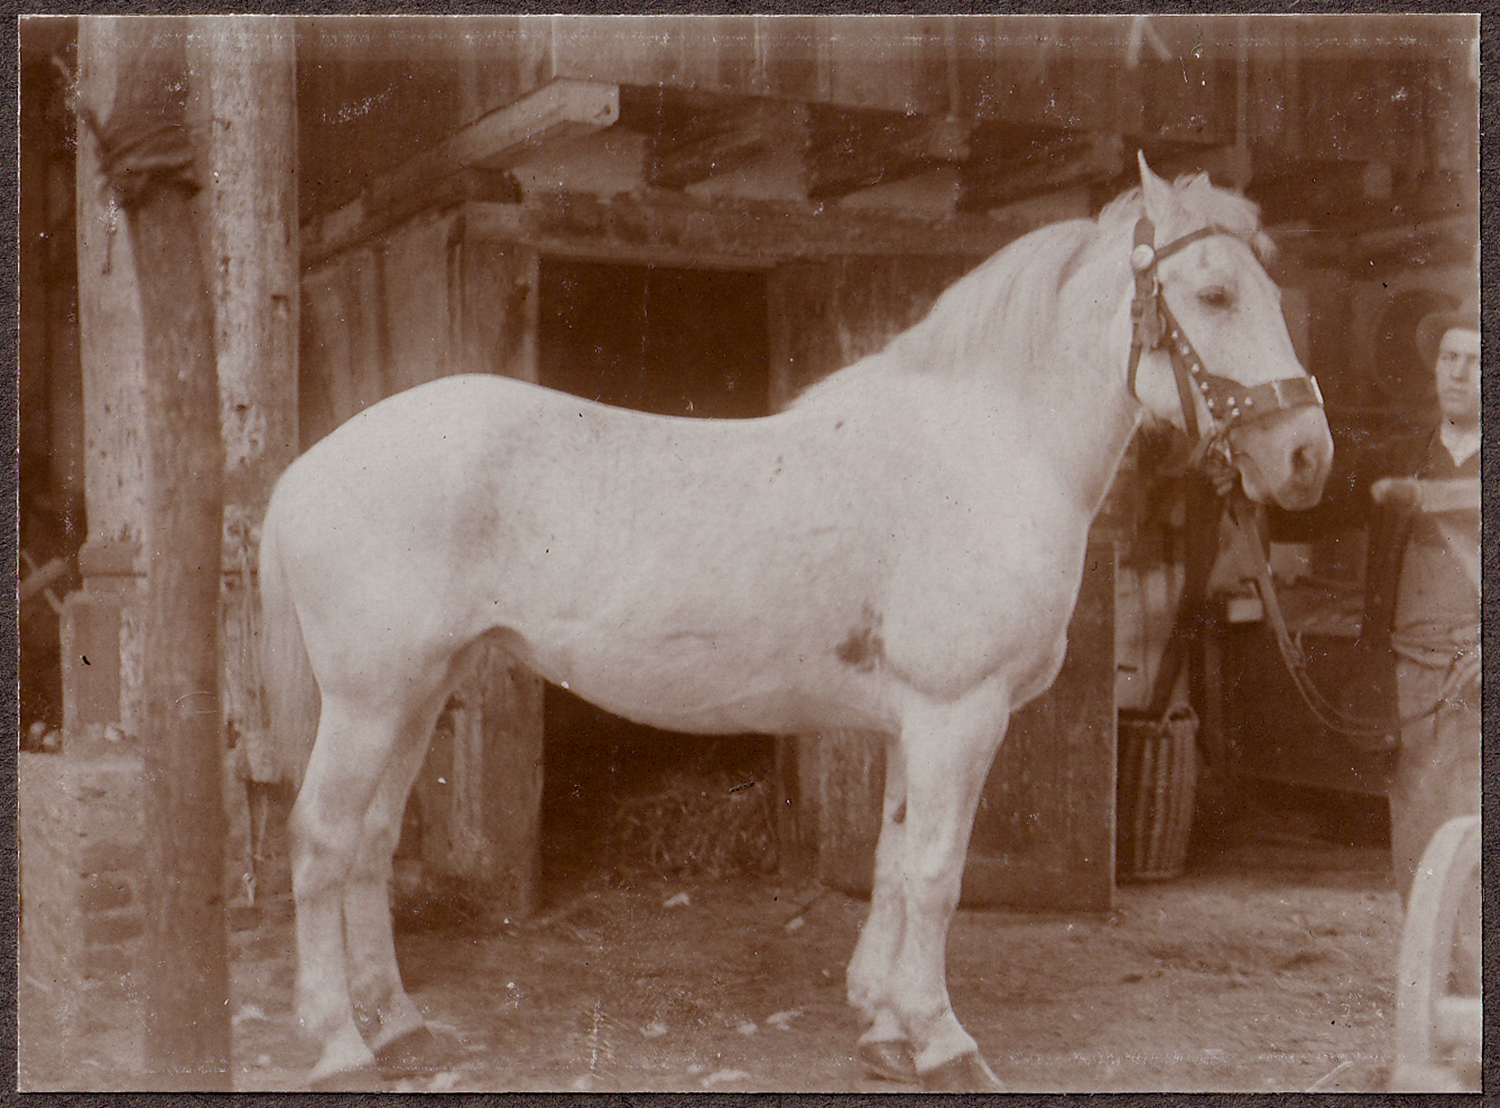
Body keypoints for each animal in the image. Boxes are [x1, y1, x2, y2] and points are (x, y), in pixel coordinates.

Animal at [258, 154, 1333, 1090]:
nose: (1306, 459)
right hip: (369, 700)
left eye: (1275, 293)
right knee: (321, 839)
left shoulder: (916, 726)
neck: (982, 455)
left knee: (372, 840)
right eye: (1215, 296)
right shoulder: (961, 716)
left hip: (421, 691)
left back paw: (398, 1025)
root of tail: (308, 470)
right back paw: (341, 1045)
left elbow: (893, 862)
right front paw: (944, 1042)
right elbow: (937, 873)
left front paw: (886, 1029)